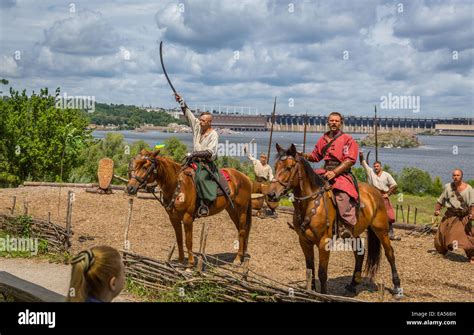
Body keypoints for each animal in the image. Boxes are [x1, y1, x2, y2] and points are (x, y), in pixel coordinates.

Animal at [266, 143, 404, 298]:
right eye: (276, 166)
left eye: (289, 167)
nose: (271, 194)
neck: (311, 203)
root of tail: (376, 192)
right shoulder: (304, 241)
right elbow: (310, 269)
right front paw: (311, 292)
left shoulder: (323, 242)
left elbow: (322, 272)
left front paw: (323, 295)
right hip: (353, 232)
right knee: (360, 253)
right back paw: (353, 284)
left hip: (381, 230)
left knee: (390, 253)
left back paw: (397, 286)